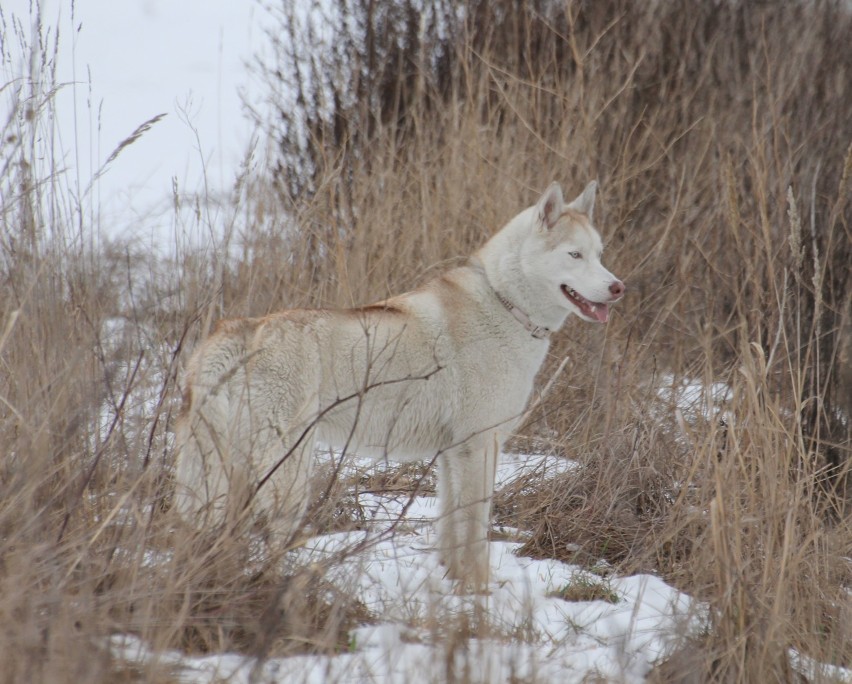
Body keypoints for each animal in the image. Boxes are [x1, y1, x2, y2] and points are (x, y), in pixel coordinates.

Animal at [175, 183, 624, 588]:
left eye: (600, 254)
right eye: (575, 255)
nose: (618, 288)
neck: (504, 302)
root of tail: (239, 329)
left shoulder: (452, 454)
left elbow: (450, 531)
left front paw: (454, 589)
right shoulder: (479, 447)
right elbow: (475, 533)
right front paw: (480, 596)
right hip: (286, 478)